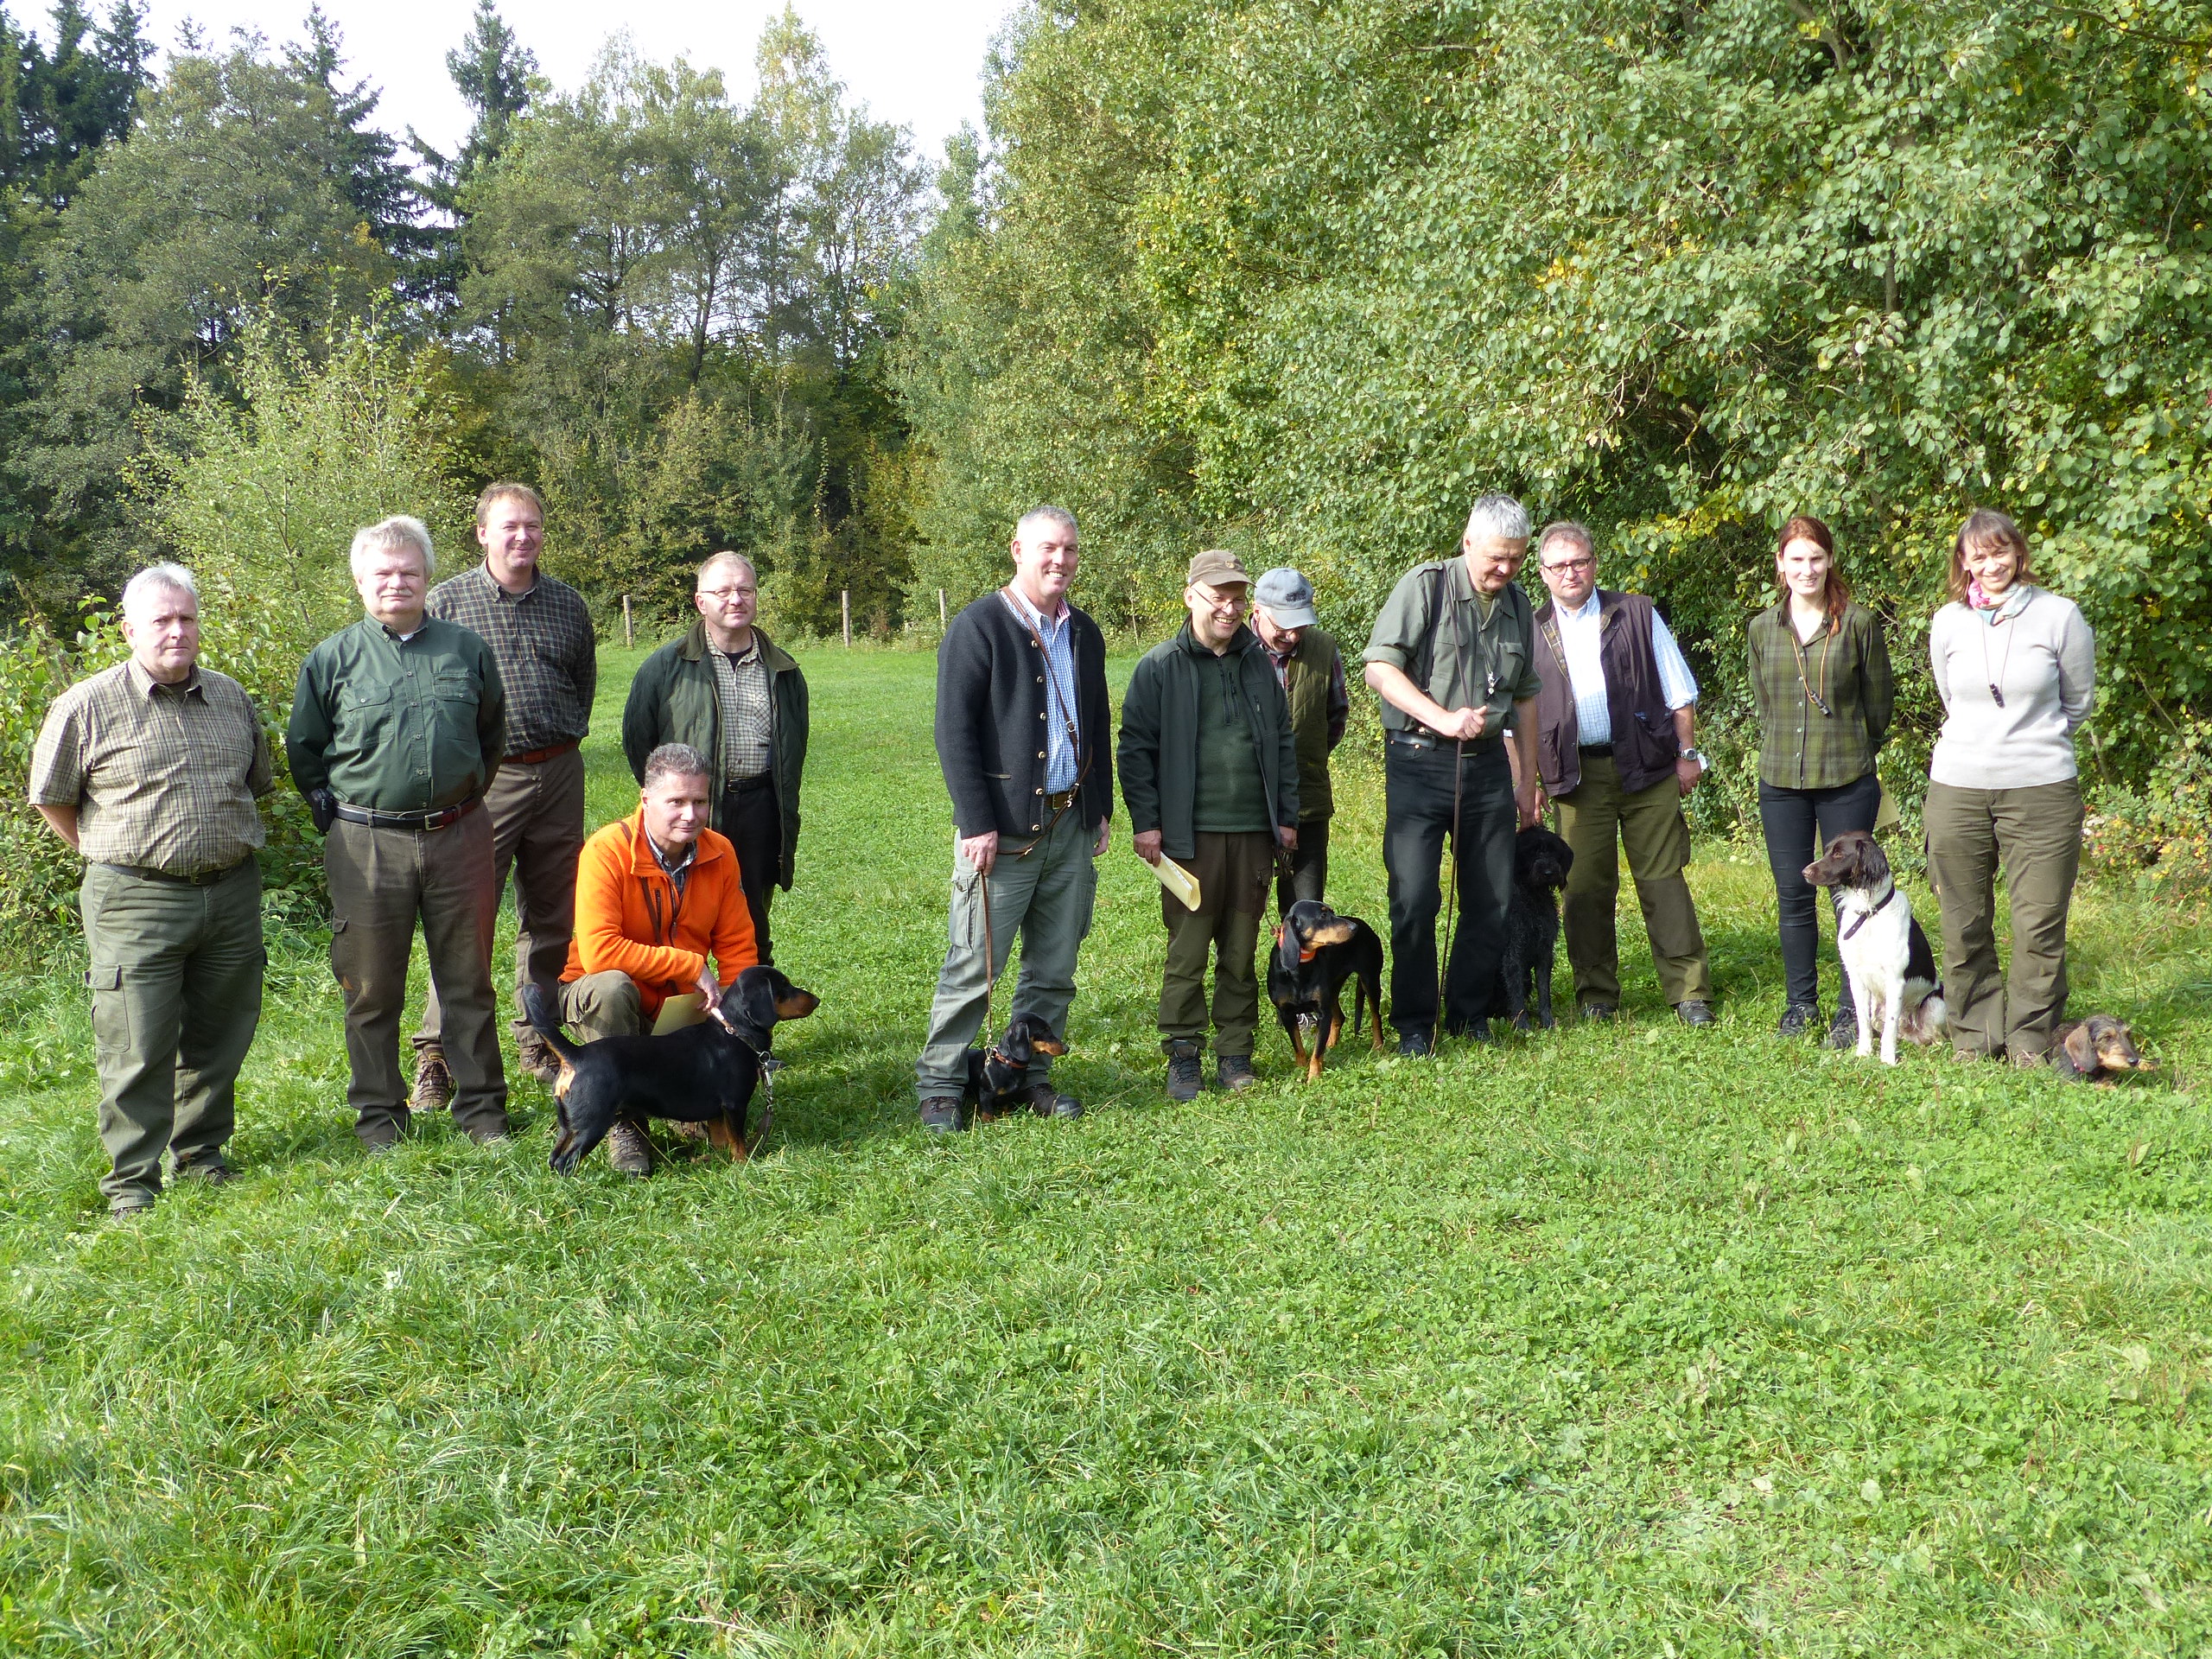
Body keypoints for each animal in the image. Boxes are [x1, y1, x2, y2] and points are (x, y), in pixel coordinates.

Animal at [526, 969, 823, 1176]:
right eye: (783, 987)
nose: (817, 999)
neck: (735, 1032)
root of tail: (576, 1054)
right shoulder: (735, 1105)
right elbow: (738, 1143)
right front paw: (742, 1166)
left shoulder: (718, 1113)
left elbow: (722, 1140)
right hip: (592, 1123)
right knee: (566, 1161)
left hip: (568, 1124)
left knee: (554, 1158)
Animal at [1265, 902, 1380, 1084]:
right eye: (1323, 916)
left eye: (1332, 912)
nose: (1354, 928)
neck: (1300, 968)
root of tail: (1364, 925)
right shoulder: (1286, 1013)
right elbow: (1298, 1047)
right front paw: (1300, 1070)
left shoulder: (1323, 1013)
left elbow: (1316, 1052)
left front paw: (1313, 1077)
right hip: (1333, 989)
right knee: (1340, 1017)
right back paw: (1331, 1045)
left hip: (1370, 980)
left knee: (1376, 1017)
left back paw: (1378, 1046)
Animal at [1495, 827, 1566, 1035]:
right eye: (1533, 852)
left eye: (1552, 850)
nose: (1549, 872)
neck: (1533, 897)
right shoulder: (1513, 956)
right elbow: (1516, 996)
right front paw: (1523, 1026)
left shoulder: (1545, 952)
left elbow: (1544, 992)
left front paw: (1547, 1021)